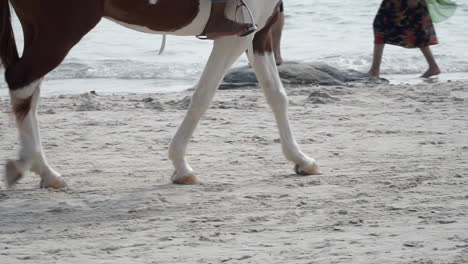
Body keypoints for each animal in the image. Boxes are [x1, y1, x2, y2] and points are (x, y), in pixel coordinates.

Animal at [0, 0, 320, 190]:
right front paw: (180, 164)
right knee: (22, 83)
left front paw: (300, 158)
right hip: (61, 31)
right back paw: (36, 167)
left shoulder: (259, 34)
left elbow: (277, 95)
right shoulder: (235, 37)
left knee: (29, 94)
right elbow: (204, 95)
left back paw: (41, 169)